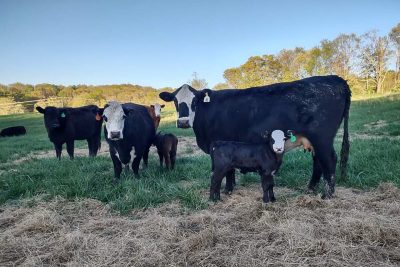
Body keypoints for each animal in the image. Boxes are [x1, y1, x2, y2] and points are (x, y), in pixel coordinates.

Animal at [159, 75, 350, 199]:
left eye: (194, 101)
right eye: (175, 101)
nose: (183, 122)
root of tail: (335, 78)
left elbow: (228, 171)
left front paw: (228, 190)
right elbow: (230, 170)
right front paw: (230, 188)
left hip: (322, 139)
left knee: (329, 161)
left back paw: (327, 195)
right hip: (313, 141)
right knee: (318, 162)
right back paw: (310, 189)